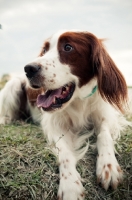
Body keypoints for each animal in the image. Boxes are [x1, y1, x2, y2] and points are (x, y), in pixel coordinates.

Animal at [0, 30, 129, 200]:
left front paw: (108, 166)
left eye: (68, 47)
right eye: (45, 50)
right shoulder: (55, 126)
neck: (78, 101)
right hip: (12, 85)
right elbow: (64, 152)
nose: (28, 69)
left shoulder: (105, 116)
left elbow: (104, 135)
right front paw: (70, 186)